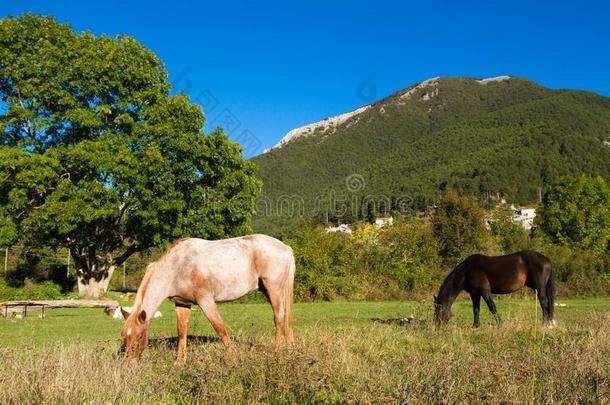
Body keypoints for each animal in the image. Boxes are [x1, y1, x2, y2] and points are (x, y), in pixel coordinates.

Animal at [119, 234, 294, 362]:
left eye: (139, 336)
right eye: (124, 337)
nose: (129, 363)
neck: (178, 266)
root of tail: (285, 248)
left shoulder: (205, 301)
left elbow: (220, 328)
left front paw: (233, 358)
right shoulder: (182, 303)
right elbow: (181, 331)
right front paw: (179, 363)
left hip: (273, 289)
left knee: (279, 317)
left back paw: (276, 354)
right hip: (269, 290)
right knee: (286, 319)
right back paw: (289, 350)